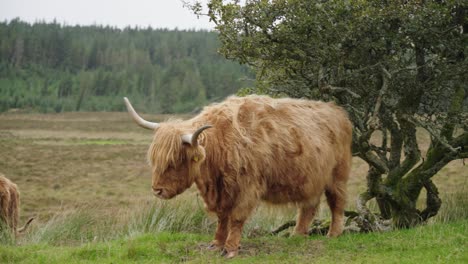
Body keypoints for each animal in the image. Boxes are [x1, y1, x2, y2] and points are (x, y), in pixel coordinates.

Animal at [123, 95, 352, 258]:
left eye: (175, 161)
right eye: (155, 160)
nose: (157, 190)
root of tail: (338, 111)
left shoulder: (247, 188)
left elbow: (236, 217)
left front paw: (231, 248)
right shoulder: (222, 191)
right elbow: (222, 217)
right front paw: (216, 244)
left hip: (337, 175)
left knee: (337, 202)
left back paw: (333, 234)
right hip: (311, 179)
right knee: (308, 206)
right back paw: (297, 235)